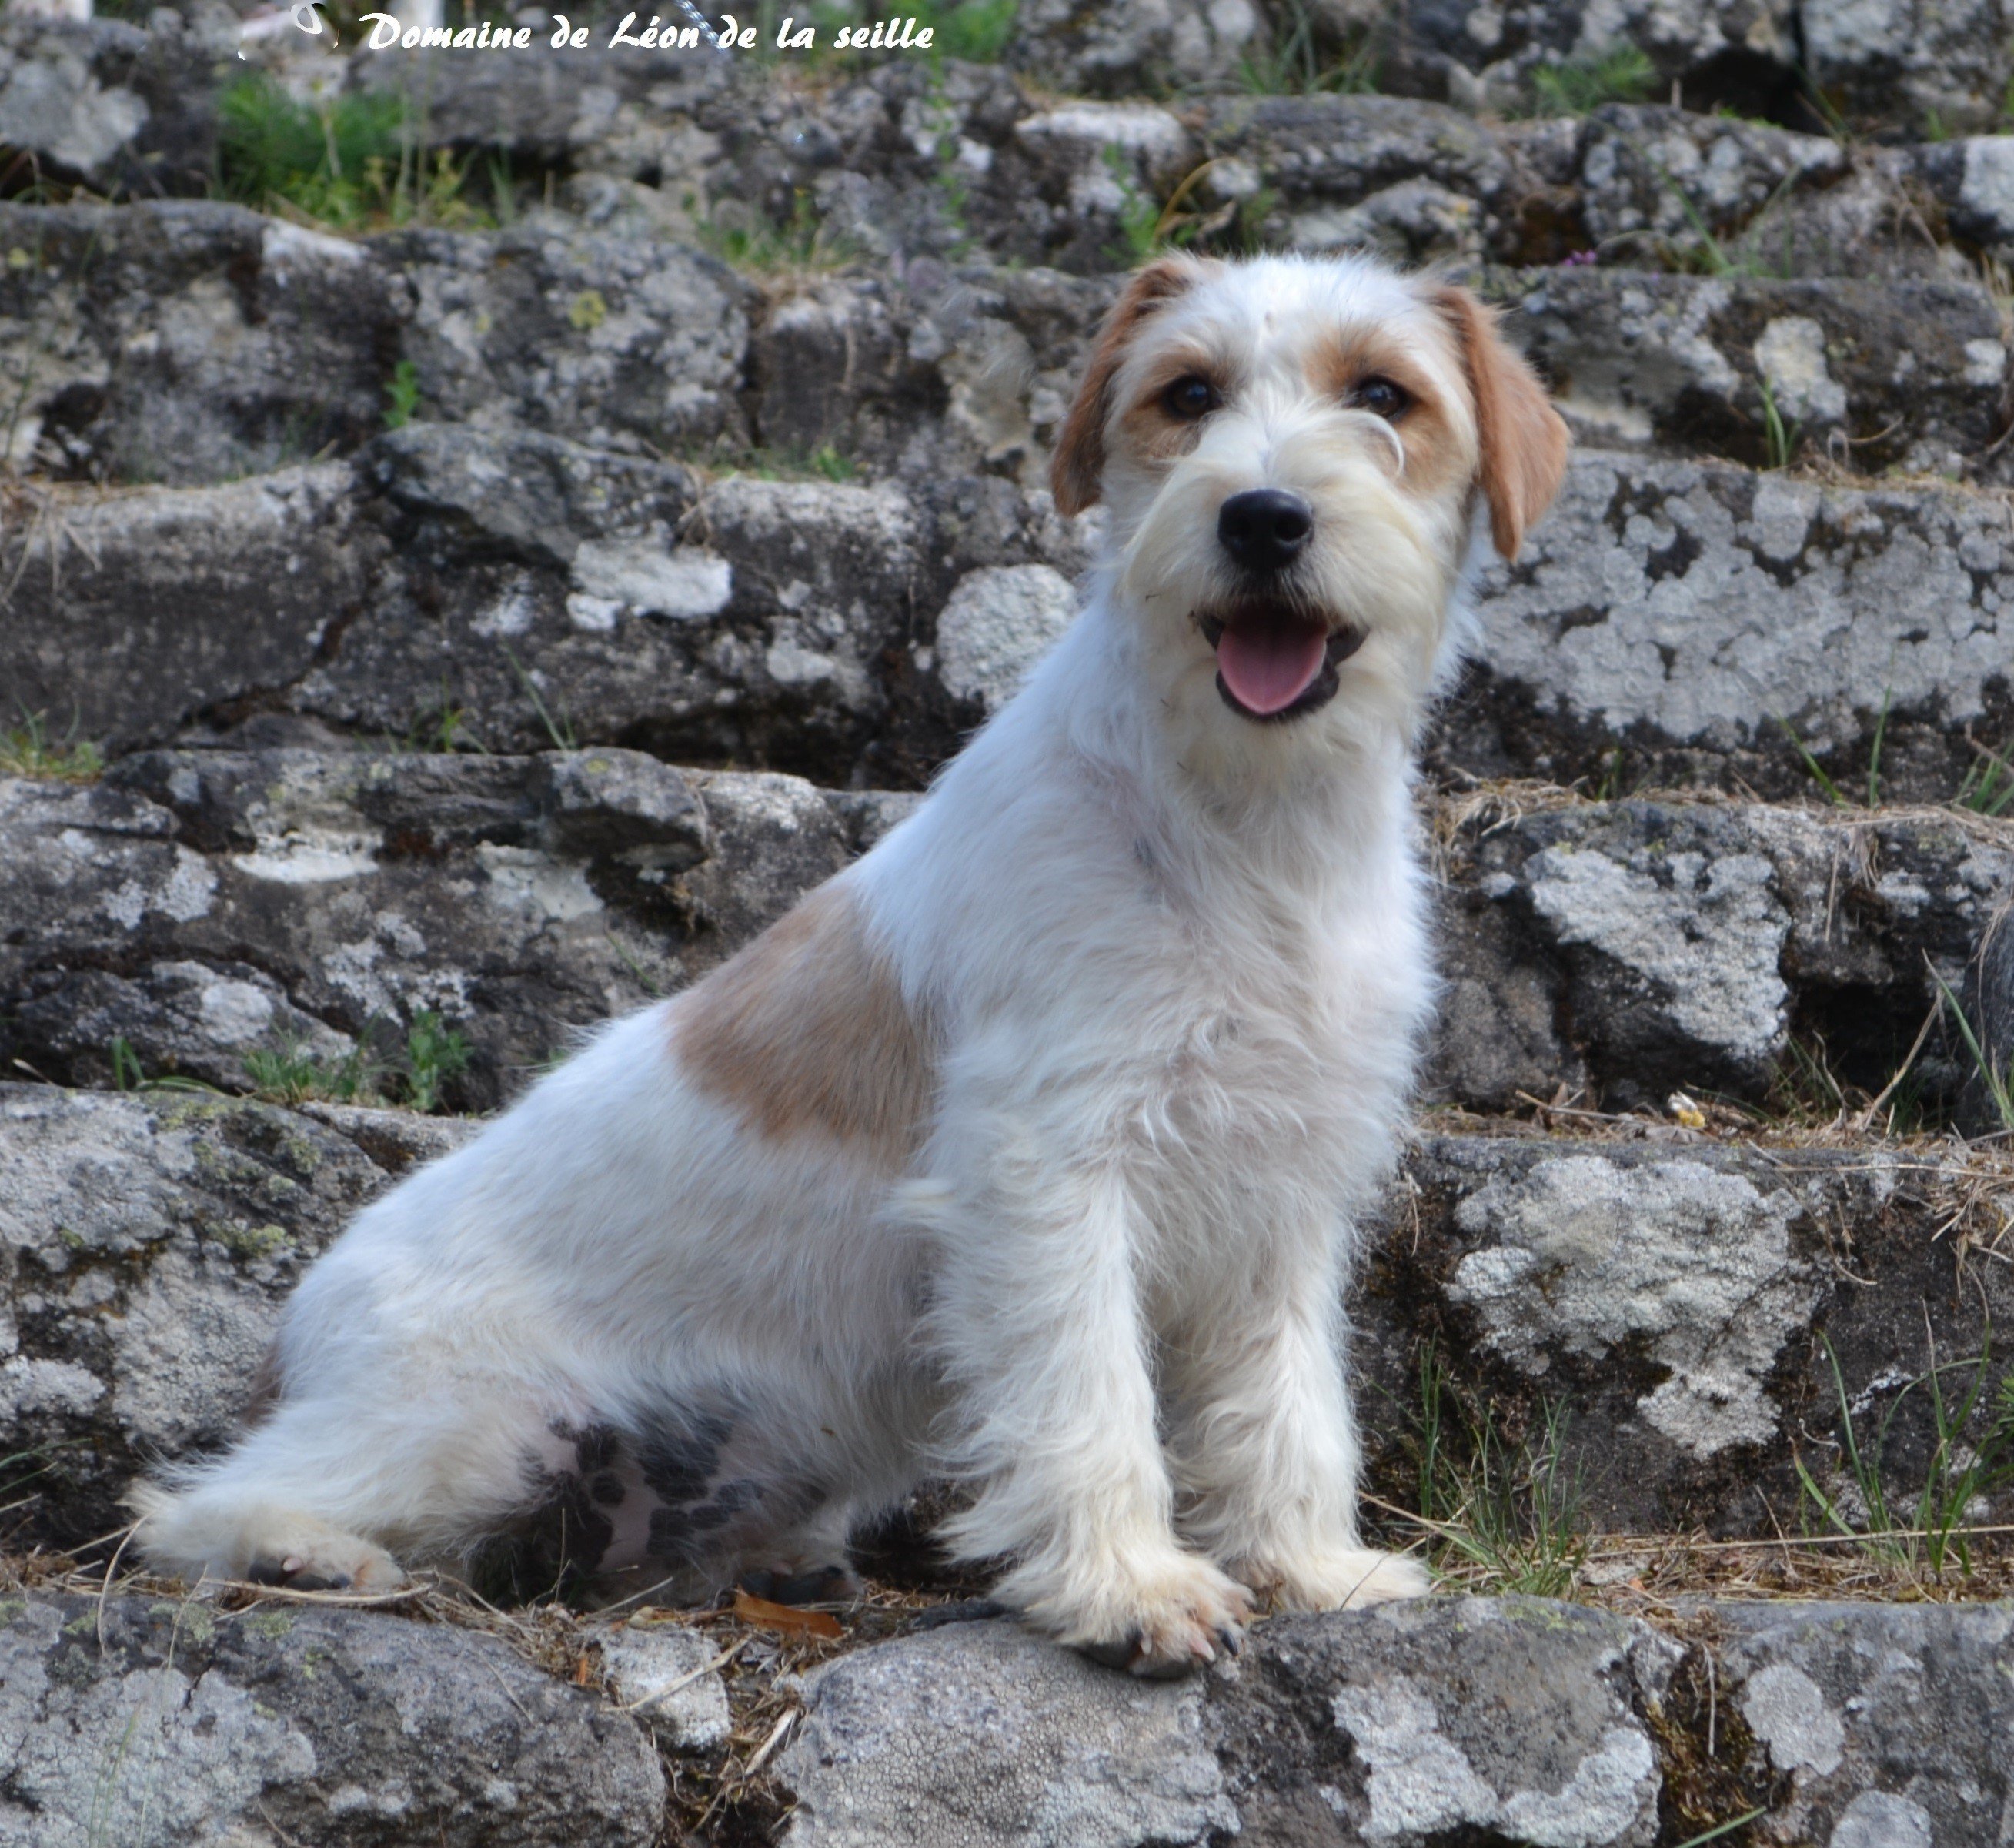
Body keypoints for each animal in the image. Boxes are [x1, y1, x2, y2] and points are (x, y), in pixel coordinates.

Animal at [134, 252, 1571, 1676]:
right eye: (1186, 393)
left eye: (1382, 393)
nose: (1263, 517)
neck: (1250, 820)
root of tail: (307, 1319)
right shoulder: (1048, 1167)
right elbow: (1087, 1386)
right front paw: (1127, 1587)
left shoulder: (1285, 1190)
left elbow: (1287, 1400)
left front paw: (1309, 1567)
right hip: (460, 1426)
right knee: (184, 1505)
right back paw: (300, 1550)